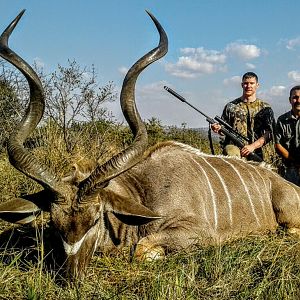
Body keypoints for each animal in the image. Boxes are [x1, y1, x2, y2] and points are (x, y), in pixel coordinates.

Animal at [1, 9, 300, 282]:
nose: (72, 277)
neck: (144, 192)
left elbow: (142, 250)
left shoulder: (200, 232)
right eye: (54, 222)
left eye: (96, 219)